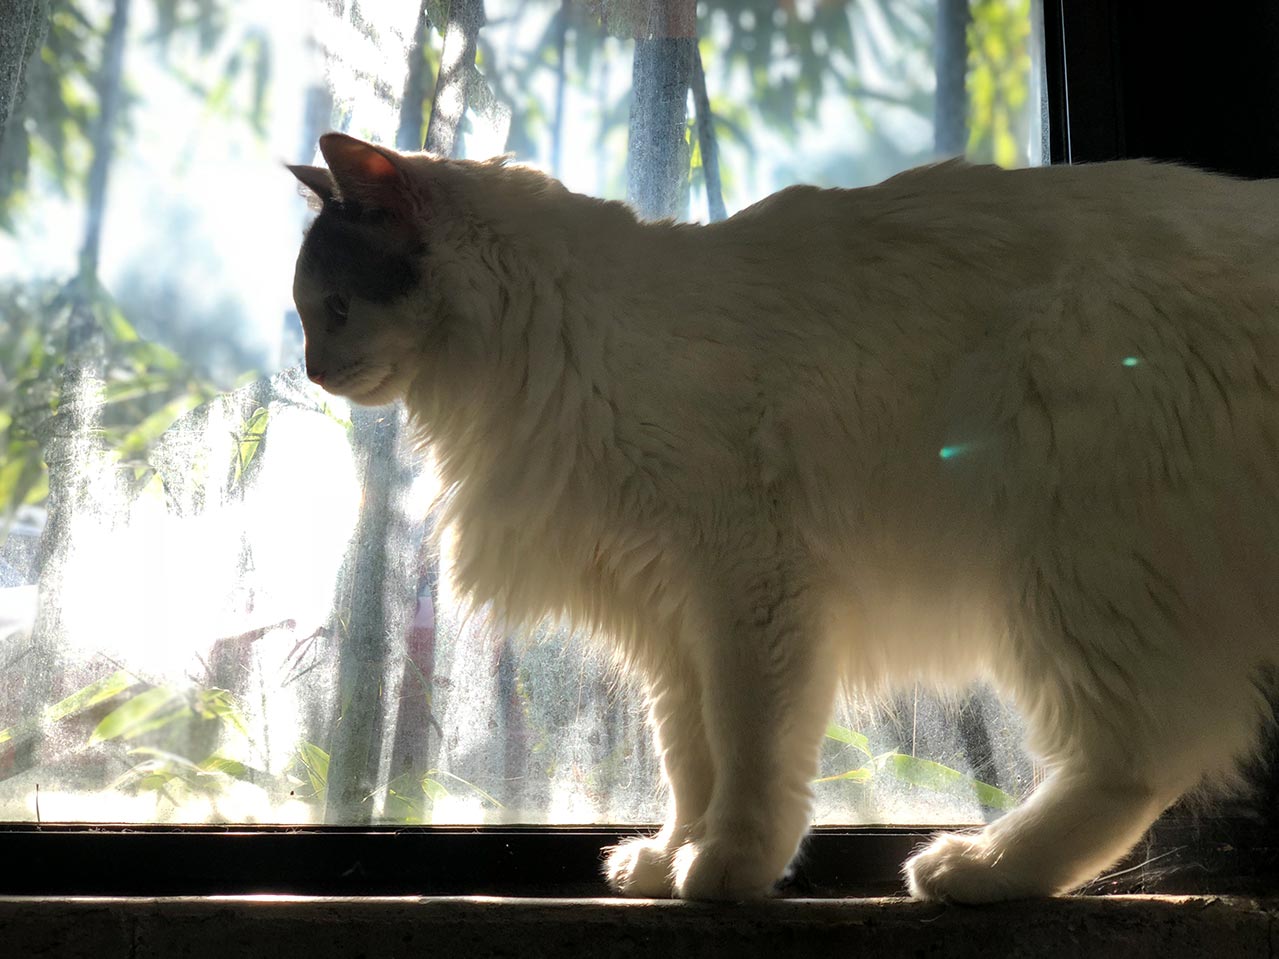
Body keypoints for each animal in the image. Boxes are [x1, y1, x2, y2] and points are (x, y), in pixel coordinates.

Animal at [287, 133, 1279, 900]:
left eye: (334, 305)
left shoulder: (745, 587)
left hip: (1080, 565)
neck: (557, 338)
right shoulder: (669, 621)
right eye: (308, 314)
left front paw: (729, 863)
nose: (311, 371)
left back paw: (978, 868)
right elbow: (689, 760)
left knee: (1138, 752)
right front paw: (669, 857)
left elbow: (748, 748)